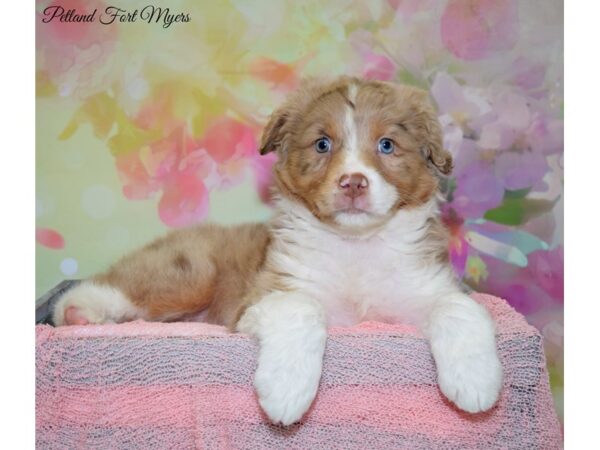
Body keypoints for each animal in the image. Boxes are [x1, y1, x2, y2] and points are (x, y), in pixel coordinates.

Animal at [52, 76, 502, 426]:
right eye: (322, 144)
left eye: (387, 145)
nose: (353, 183)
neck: (355, 247)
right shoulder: (264, 294)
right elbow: (302, 307)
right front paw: (287, 391)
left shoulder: (423, 286)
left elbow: (459, 307)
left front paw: (475, 381)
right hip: (191, 273)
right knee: (115, 284)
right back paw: (77, 312)